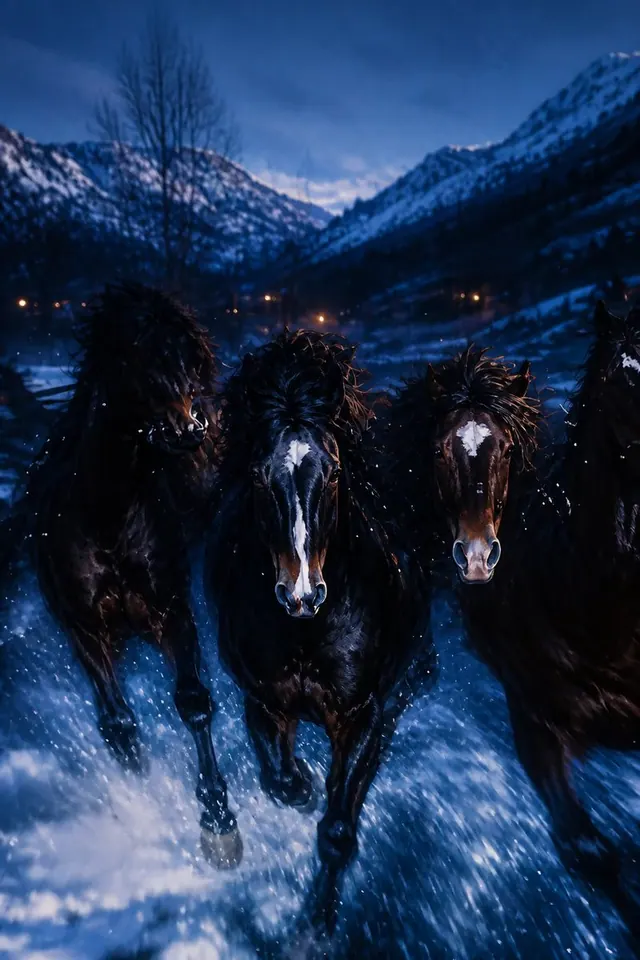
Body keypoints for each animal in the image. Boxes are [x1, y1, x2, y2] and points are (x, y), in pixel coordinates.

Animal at [5, 283, 242, 868]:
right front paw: (142, 799)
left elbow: (194, 703)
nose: (189, 429)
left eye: (190, 356)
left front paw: (218, 824)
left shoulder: (173, 615)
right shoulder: (85, 629)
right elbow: (119, 727)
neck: (106, 517)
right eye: (132, 355)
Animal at [205, 329, 435, 943]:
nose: (301, 594)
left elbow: (337, 825)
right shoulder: (263, 701)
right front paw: (302, 785)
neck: (308, 635)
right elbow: (282, 779)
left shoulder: (362, 716)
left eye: (331, 472)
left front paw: (316, 922)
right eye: (259, 474)